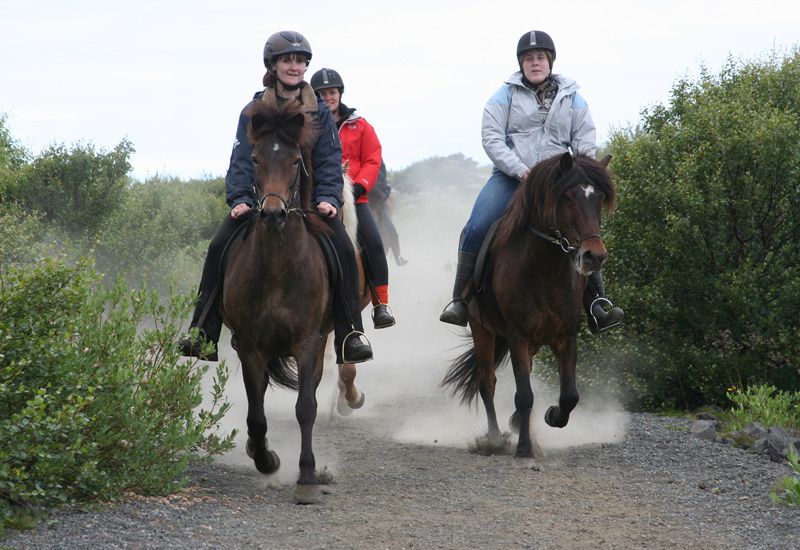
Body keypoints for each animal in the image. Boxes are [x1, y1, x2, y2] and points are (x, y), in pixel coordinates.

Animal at [223, 99, 336, 504]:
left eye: (295, 160)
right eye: (254, 158)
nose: (273, 213)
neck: (276, 268)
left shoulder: (306, 343)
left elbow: (306, 407)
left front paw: (307, 476)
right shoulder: (250, 346)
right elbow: (256, 414)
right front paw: (266, 459)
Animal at [440, 153, 616, 468]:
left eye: (598, 199)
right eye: (568, 197)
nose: (594, 256)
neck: (545, 268)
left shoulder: (565, 336)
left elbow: (570, 395)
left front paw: (552, 416)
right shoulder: (518, 335)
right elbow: (523, 395)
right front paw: (523, 449)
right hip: (482, 329)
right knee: (487, 383)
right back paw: (495, 439)